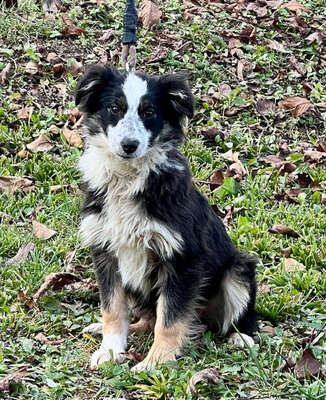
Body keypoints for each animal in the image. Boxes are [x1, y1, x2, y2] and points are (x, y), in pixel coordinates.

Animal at [76, 66, 258, 372]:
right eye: (115, 108)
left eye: (149, 112)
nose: (129, 145)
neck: (129, 179)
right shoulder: (106, 252)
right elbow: (112, 308)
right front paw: (110, 350)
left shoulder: (183, 258)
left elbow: (170, 318)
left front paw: (155, 362)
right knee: (147, 318)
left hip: (239, 271)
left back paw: (239, 337)